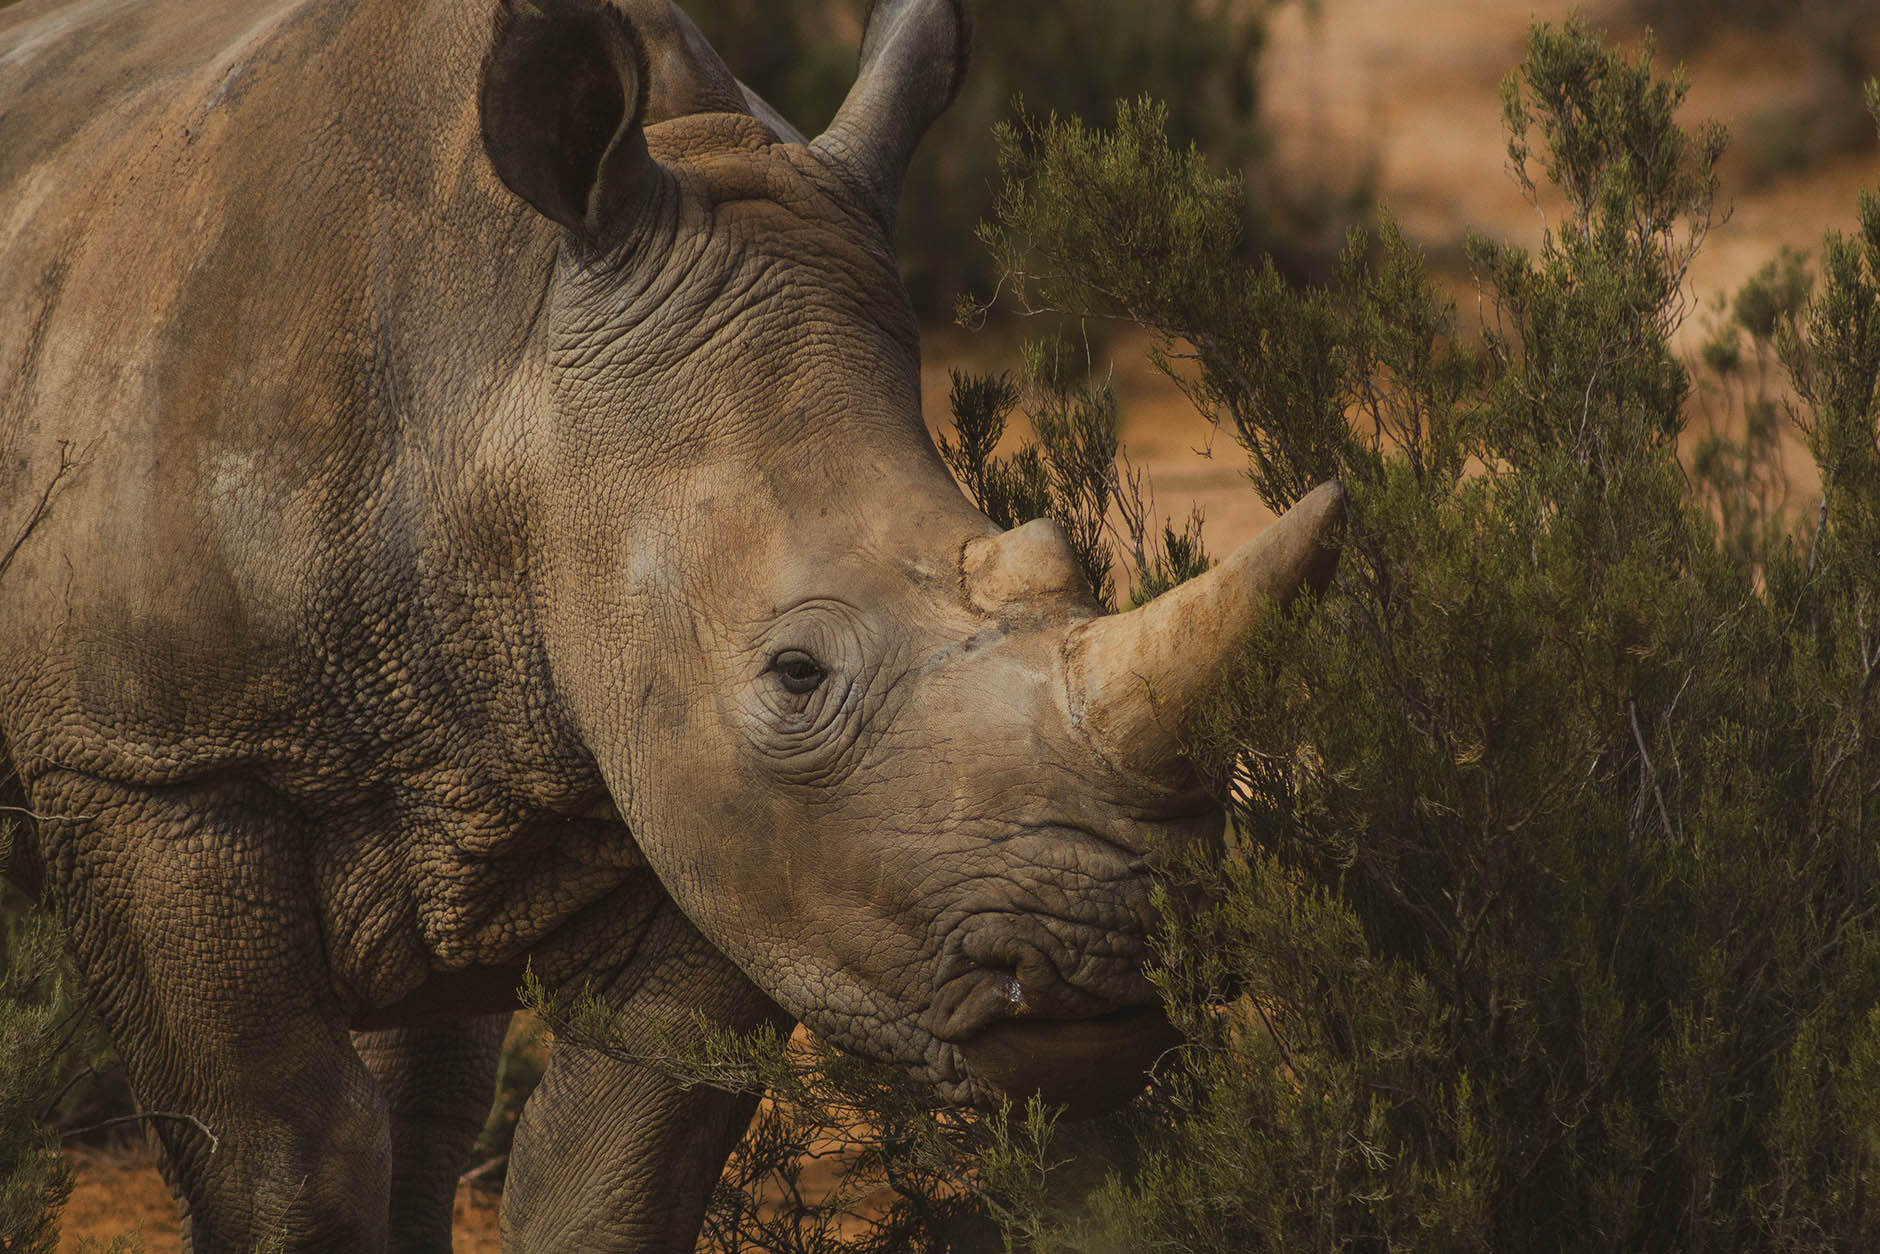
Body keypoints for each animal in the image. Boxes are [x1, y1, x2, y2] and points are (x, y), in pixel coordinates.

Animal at [0, 0, 1344, 1248]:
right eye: (794, 674)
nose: (1118, 954)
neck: (497, 368)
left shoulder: (703, 797)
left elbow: (623, 1161)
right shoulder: (144, 762)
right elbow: (284, 1150)